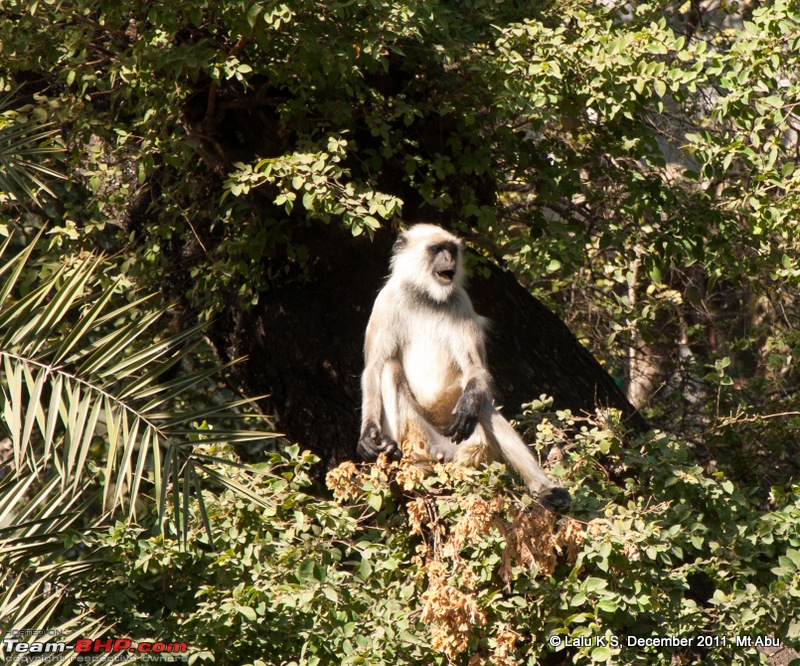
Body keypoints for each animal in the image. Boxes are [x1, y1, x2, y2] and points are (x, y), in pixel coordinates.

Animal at [360, 223, 572, 508]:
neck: (426, 296)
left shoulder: (461, 301)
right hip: (420, 434)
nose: (449, 259)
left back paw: (546, 489)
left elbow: (476, 371)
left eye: (451, 250)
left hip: (466, 439)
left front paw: (470, 402)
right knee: (389, 369)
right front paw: (368, 436)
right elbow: (373, 367)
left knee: (480, 402)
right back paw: (399, 457)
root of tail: (443, 450)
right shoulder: (386, 301)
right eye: (436, 249)